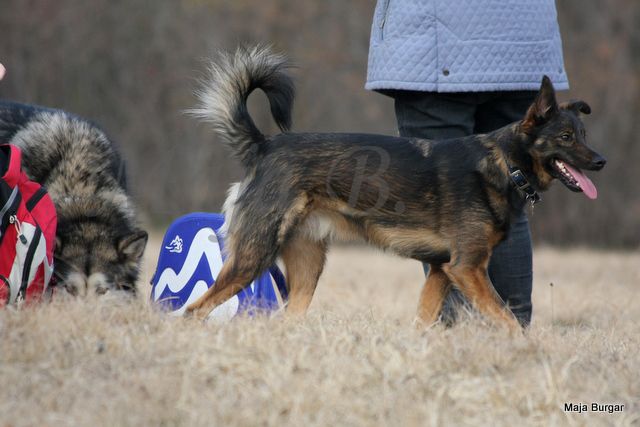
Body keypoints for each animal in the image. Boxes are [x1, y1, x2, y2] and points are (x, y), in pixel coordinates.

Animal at [184, 45, 604, 330]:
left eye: (583, 135)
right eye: (566, 137)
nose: (601, 161)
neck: (504, 162)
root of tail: (264, 145)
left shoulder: (441, 271)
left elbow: (424, 322)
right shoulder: (467, 269)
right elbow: (508, 320)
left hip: (306, 268)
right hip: (251, 258)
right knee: (193, 310)